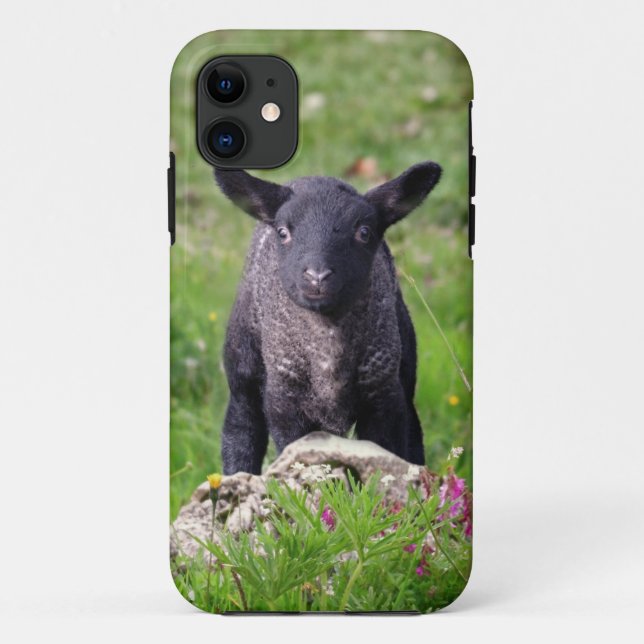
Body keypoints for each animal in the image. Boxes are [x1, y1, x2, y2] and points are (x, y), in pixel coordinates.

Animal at [214, 162, 441, 474]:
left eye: (364, 232)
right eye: (283, 232)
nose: (317, 276)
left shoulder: (384, 398)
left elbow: (384, 457)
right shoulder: (285, 403)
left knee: (414, 436)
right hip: (243, 365)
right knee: (241, 427)